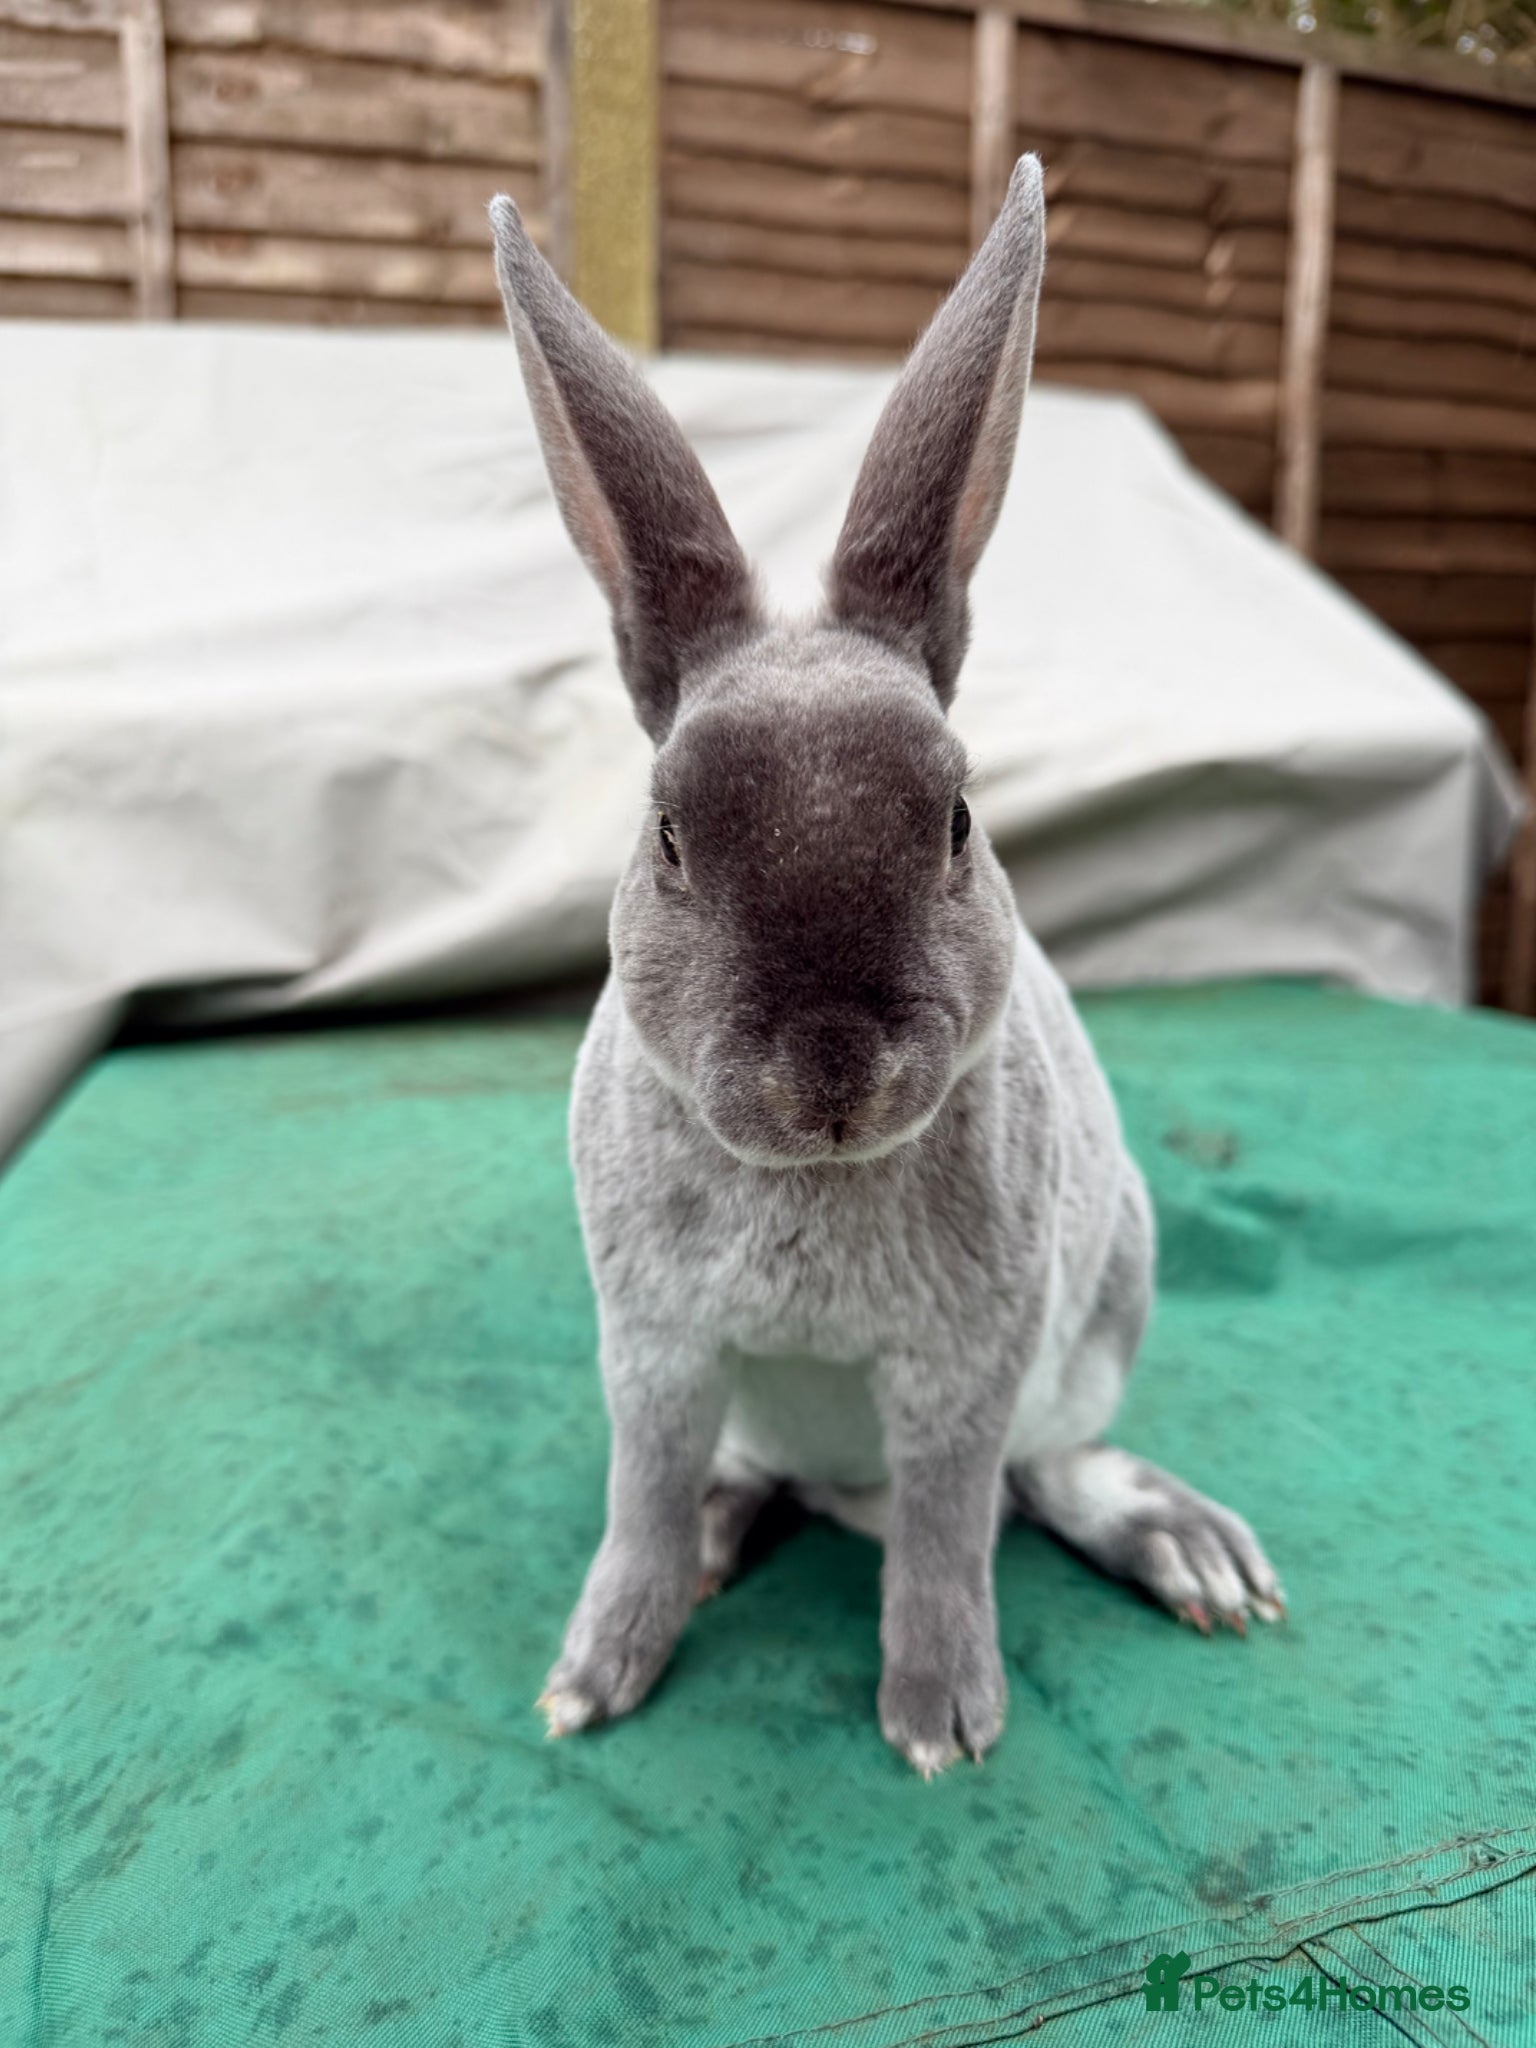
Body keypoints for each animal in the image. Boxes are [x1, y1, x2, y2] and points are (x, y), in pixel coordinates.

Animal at [488, 155, 1282, 1779]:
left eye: (959, 822)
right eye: (668, 835)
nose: (831, 1073)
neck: (814, 1179)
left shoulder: (964, 1371)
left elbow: (946, 1527)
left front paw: (943, 1722)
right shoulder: (655, 1353)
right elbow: (642, 1503)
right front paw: (592, 1678)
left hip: (1105, 1306)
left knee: (1043, 1477)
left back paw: (1189, 1550)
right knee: (745, 1484)